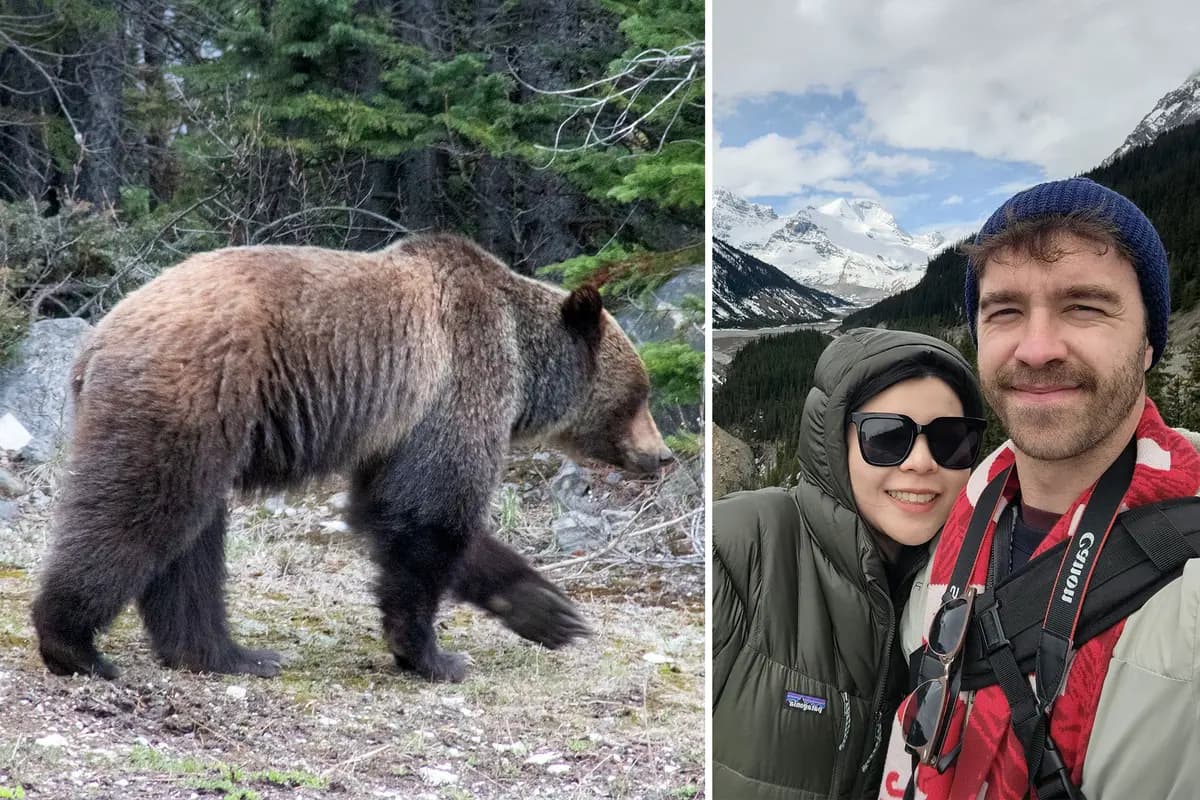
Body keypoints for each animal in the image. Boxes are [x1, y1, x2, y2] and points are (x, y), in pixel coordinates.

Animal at [31, 233, 673, 682]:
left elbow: (386, 505)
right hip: (192, 398)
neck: (523, 362)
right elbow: (429, 512)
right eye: (640, 394)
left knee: (193, 542)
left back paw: (228, 653)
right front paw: (432, 656)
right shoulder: (460, 380)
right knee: (141, 511)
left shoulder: (402, 425)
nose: (662, 455)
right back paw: (74, 645)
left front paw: (549, 610)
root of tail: (95, 340)